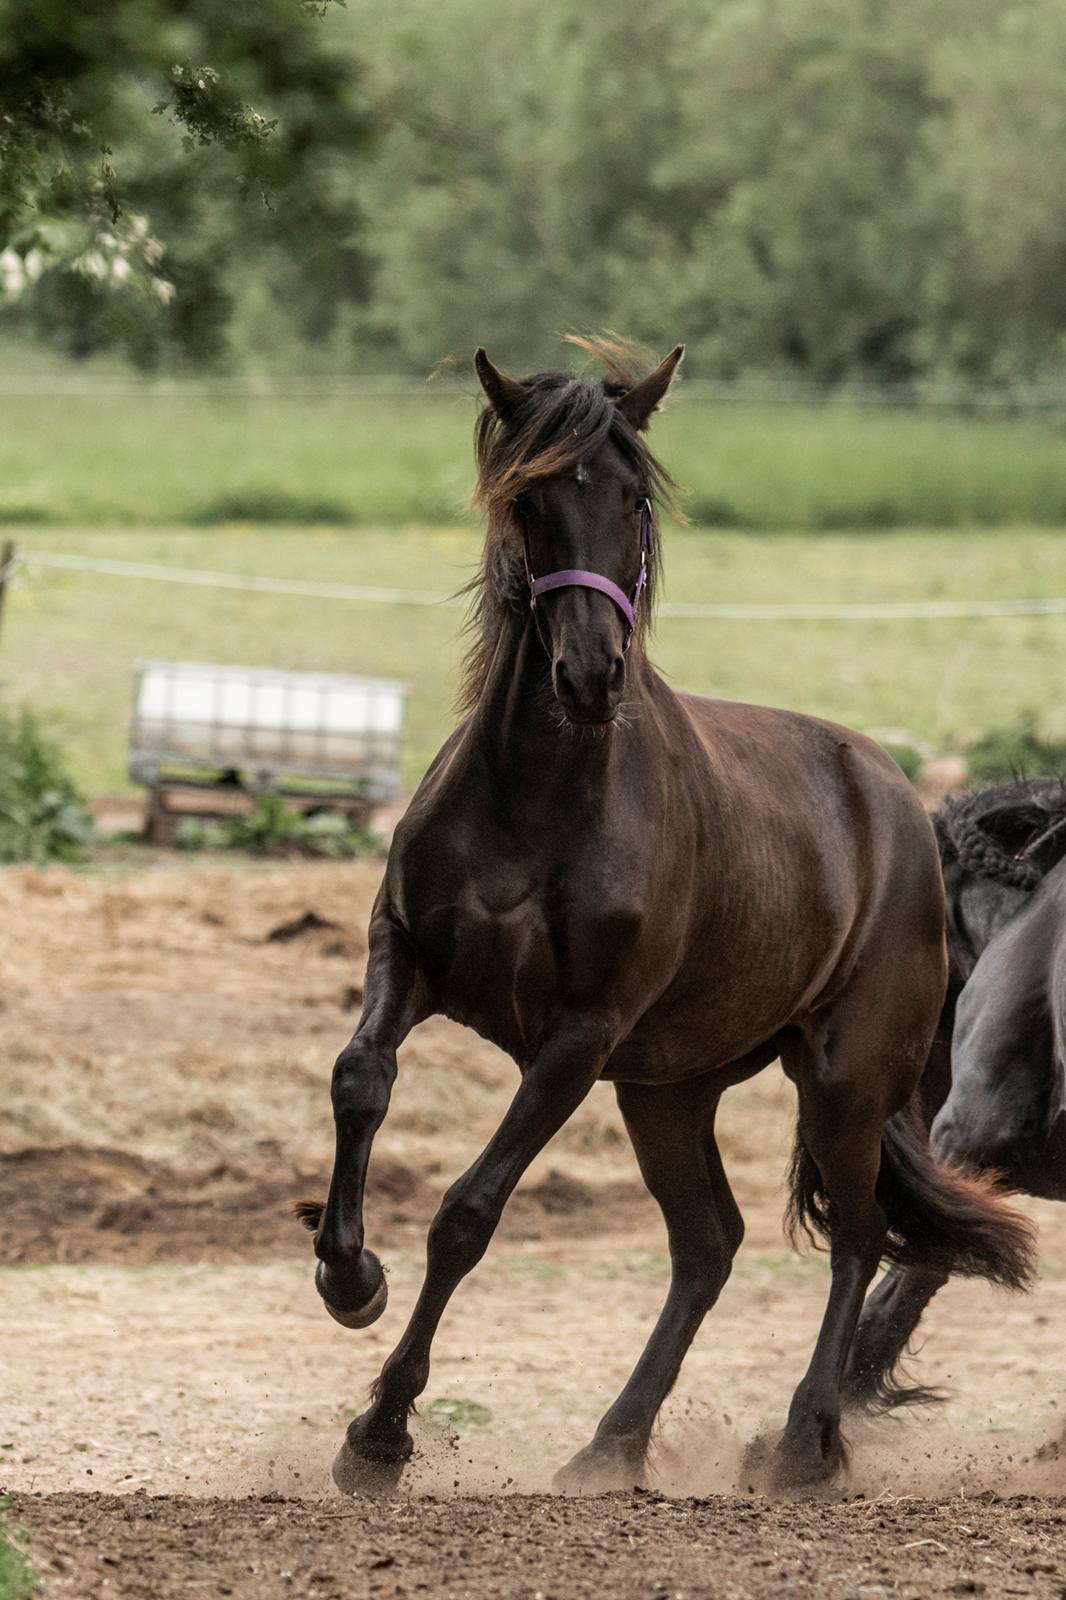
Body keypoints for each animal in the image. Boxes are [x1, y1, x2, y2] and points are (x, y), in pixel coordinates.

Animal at [299, 340, 1030, 1497]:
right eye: (529, 497)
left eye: (634, 497)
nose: (591, 674)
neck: (540, 798)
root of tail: (899, 799)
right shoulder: (405, 955)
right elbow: (359, 1077)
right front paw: (347, 1274)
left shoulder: (577, 1039)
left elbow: (468, 1212)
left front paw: (379, 1434)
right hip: (668, 1089)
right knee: (708, 1242)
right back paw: (611, 1443)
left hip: (844, 1077)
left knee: (862, 1232)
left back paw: (804, 1442)